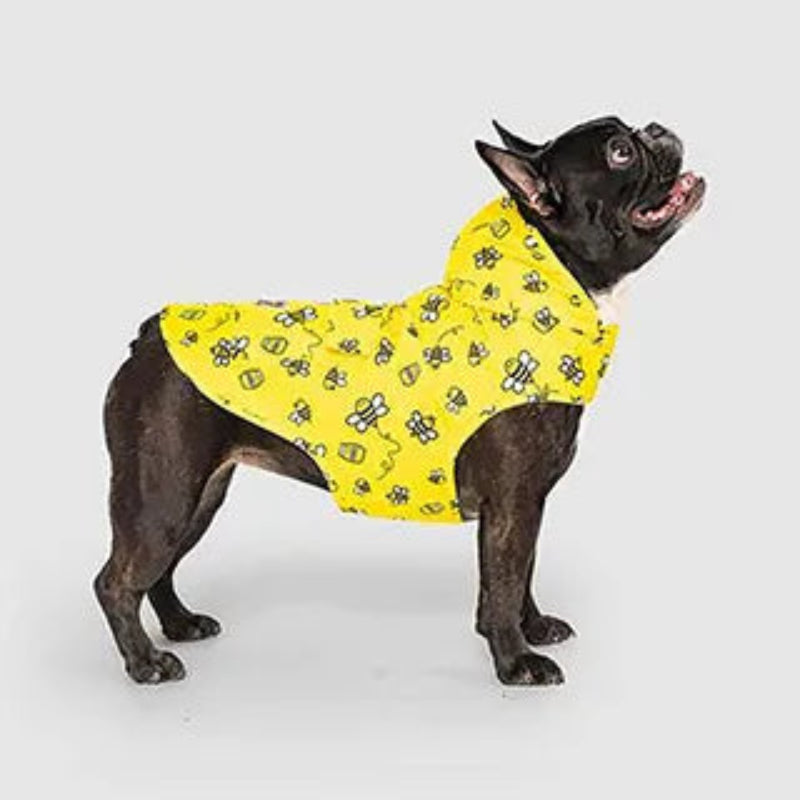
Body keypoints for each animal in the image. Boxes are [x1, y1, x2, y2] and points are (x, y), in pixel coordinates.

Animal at [95, 116, 705, 686]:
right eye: (620, 152)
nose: (655, 129)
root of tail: (151, 335)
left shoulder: (529, 502)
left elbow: (520, 573)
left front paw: (530, 630)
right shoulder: (514, 504)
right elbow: (506, 579)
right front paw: (516, 663)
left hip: (198, 493)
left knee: (159, 570)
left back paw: (180, 625)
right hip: (163, 493)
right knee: (119, 580)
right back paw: (145, 662)